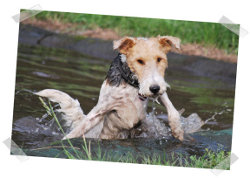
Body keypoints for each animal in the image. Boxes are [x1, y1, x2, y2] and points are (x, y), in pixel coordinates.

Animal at [35, 35, 184, 140]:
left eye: (160, 59)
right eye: (139, 61)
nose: (154, 88)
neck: (132, 84)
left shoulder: (157, 89)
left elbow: (171, 109)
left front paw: (177, 131)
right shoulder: (102, 108)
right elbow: (78, 130)